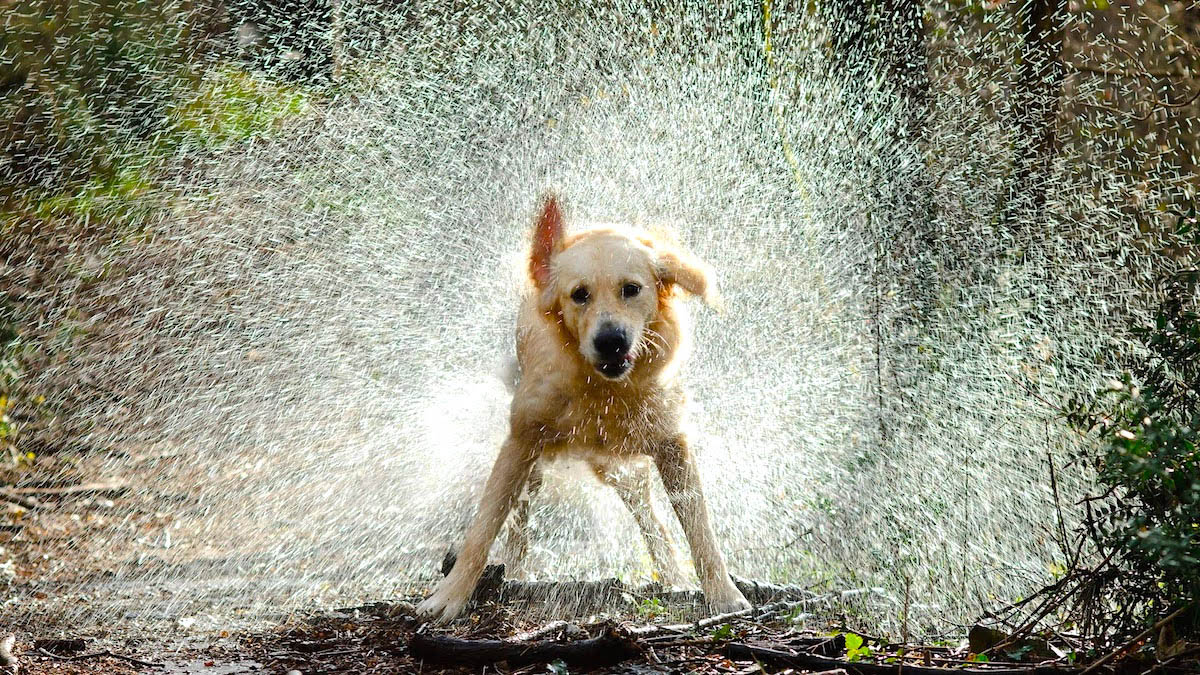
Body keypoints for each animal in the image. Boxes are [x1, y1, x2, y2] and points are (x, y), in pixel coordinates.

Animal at [417, 190, 744, 619]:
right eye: (579, 294)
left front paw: (724, 594)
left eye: (631, 289)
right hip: (537, 464)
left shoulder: (673, 443)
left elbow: (700, 529)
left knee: (651, 521)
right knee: (520, 520)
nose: (611, 341)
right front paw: (449, 597)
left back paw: (673, 577)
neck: (603, 390)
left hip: (622, 469)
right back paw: (515, 572)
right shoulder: (521, 442)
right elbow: (483, 528)